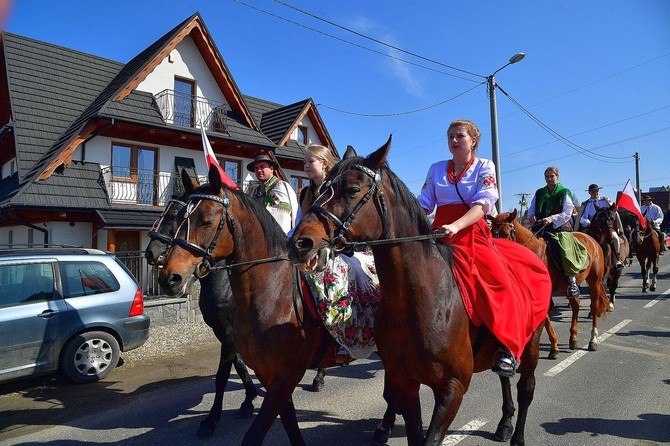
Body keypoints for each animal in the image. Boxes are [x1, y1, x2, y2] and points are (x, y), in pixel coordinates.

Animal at [156, 167, 400, 446]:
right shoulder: (267, 372)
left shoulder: (282, 374)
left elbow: (240, 406)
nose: (169, 277)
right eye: (179, 217)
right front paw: (244, 402)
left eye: (205, 220)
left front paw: (216, 418)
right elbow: (288, 421)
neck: (273, 293)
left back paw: (385, 425)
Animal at [288, 138, 544, 446]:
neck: (421, 302)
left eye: (352, 189)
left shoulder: (452, 388)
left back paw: (517, 435)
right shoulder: (405, 382)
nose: (300, 242)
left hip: (531, 345)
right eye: (322, 187)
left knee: (526, 388)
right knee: (505, 379)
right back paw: (505, 423)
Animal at [490, 208, 612, 352]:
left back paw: (593, 340)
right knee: (576, 305)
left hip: (595, 282)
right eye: (491, 233)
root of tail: (593, 240)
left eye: (506, 234)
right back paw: (573, 338)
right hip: (567, 287)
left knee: (594, 306)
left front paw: (554, 347)